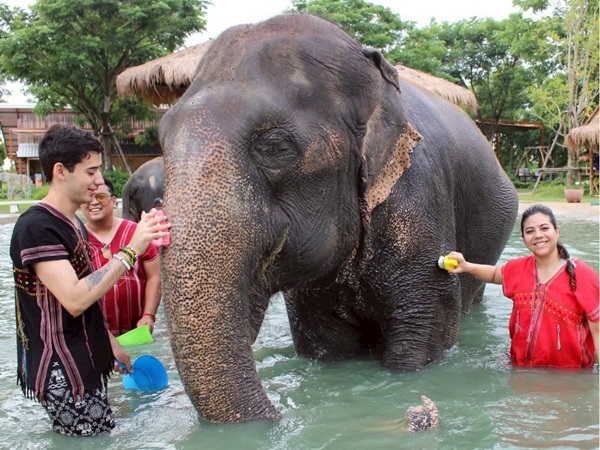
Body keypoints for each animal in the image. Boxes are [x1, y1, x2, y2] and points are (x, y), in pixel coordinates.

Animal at [158, 13, 518, 424]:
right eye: (160, 139)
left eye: (275, 147)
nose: (278, 415)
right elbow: (326, 345)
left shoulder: (419, 199)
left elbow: (420, 347)